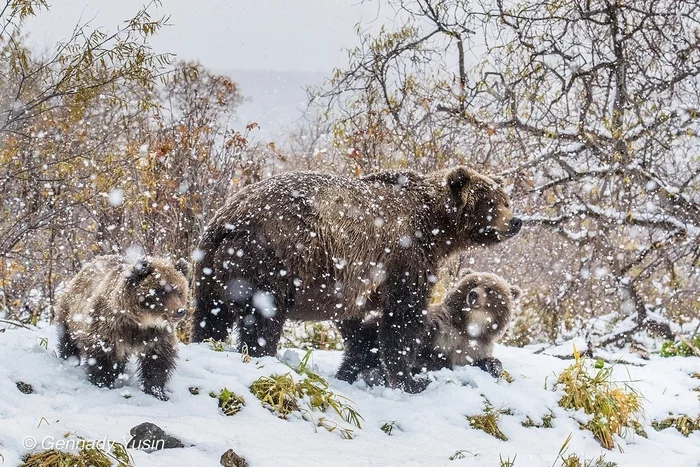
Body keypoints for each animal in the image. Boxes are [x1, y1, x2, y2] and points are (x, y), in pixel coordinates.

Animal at [191, 166, 520, 394]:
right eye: (493, 202)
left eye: (507, 200)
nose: (516, 221)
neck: (435, 226)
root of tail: (228, 220)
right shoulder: (405, 256)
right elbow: (403, 317)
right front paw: (410, 380)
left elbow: (360, 324)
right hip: (270, 259)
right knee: (262, 318)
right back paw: (264, 356)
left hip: (209, 268)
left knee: (210, 315)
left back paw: (207, 342)